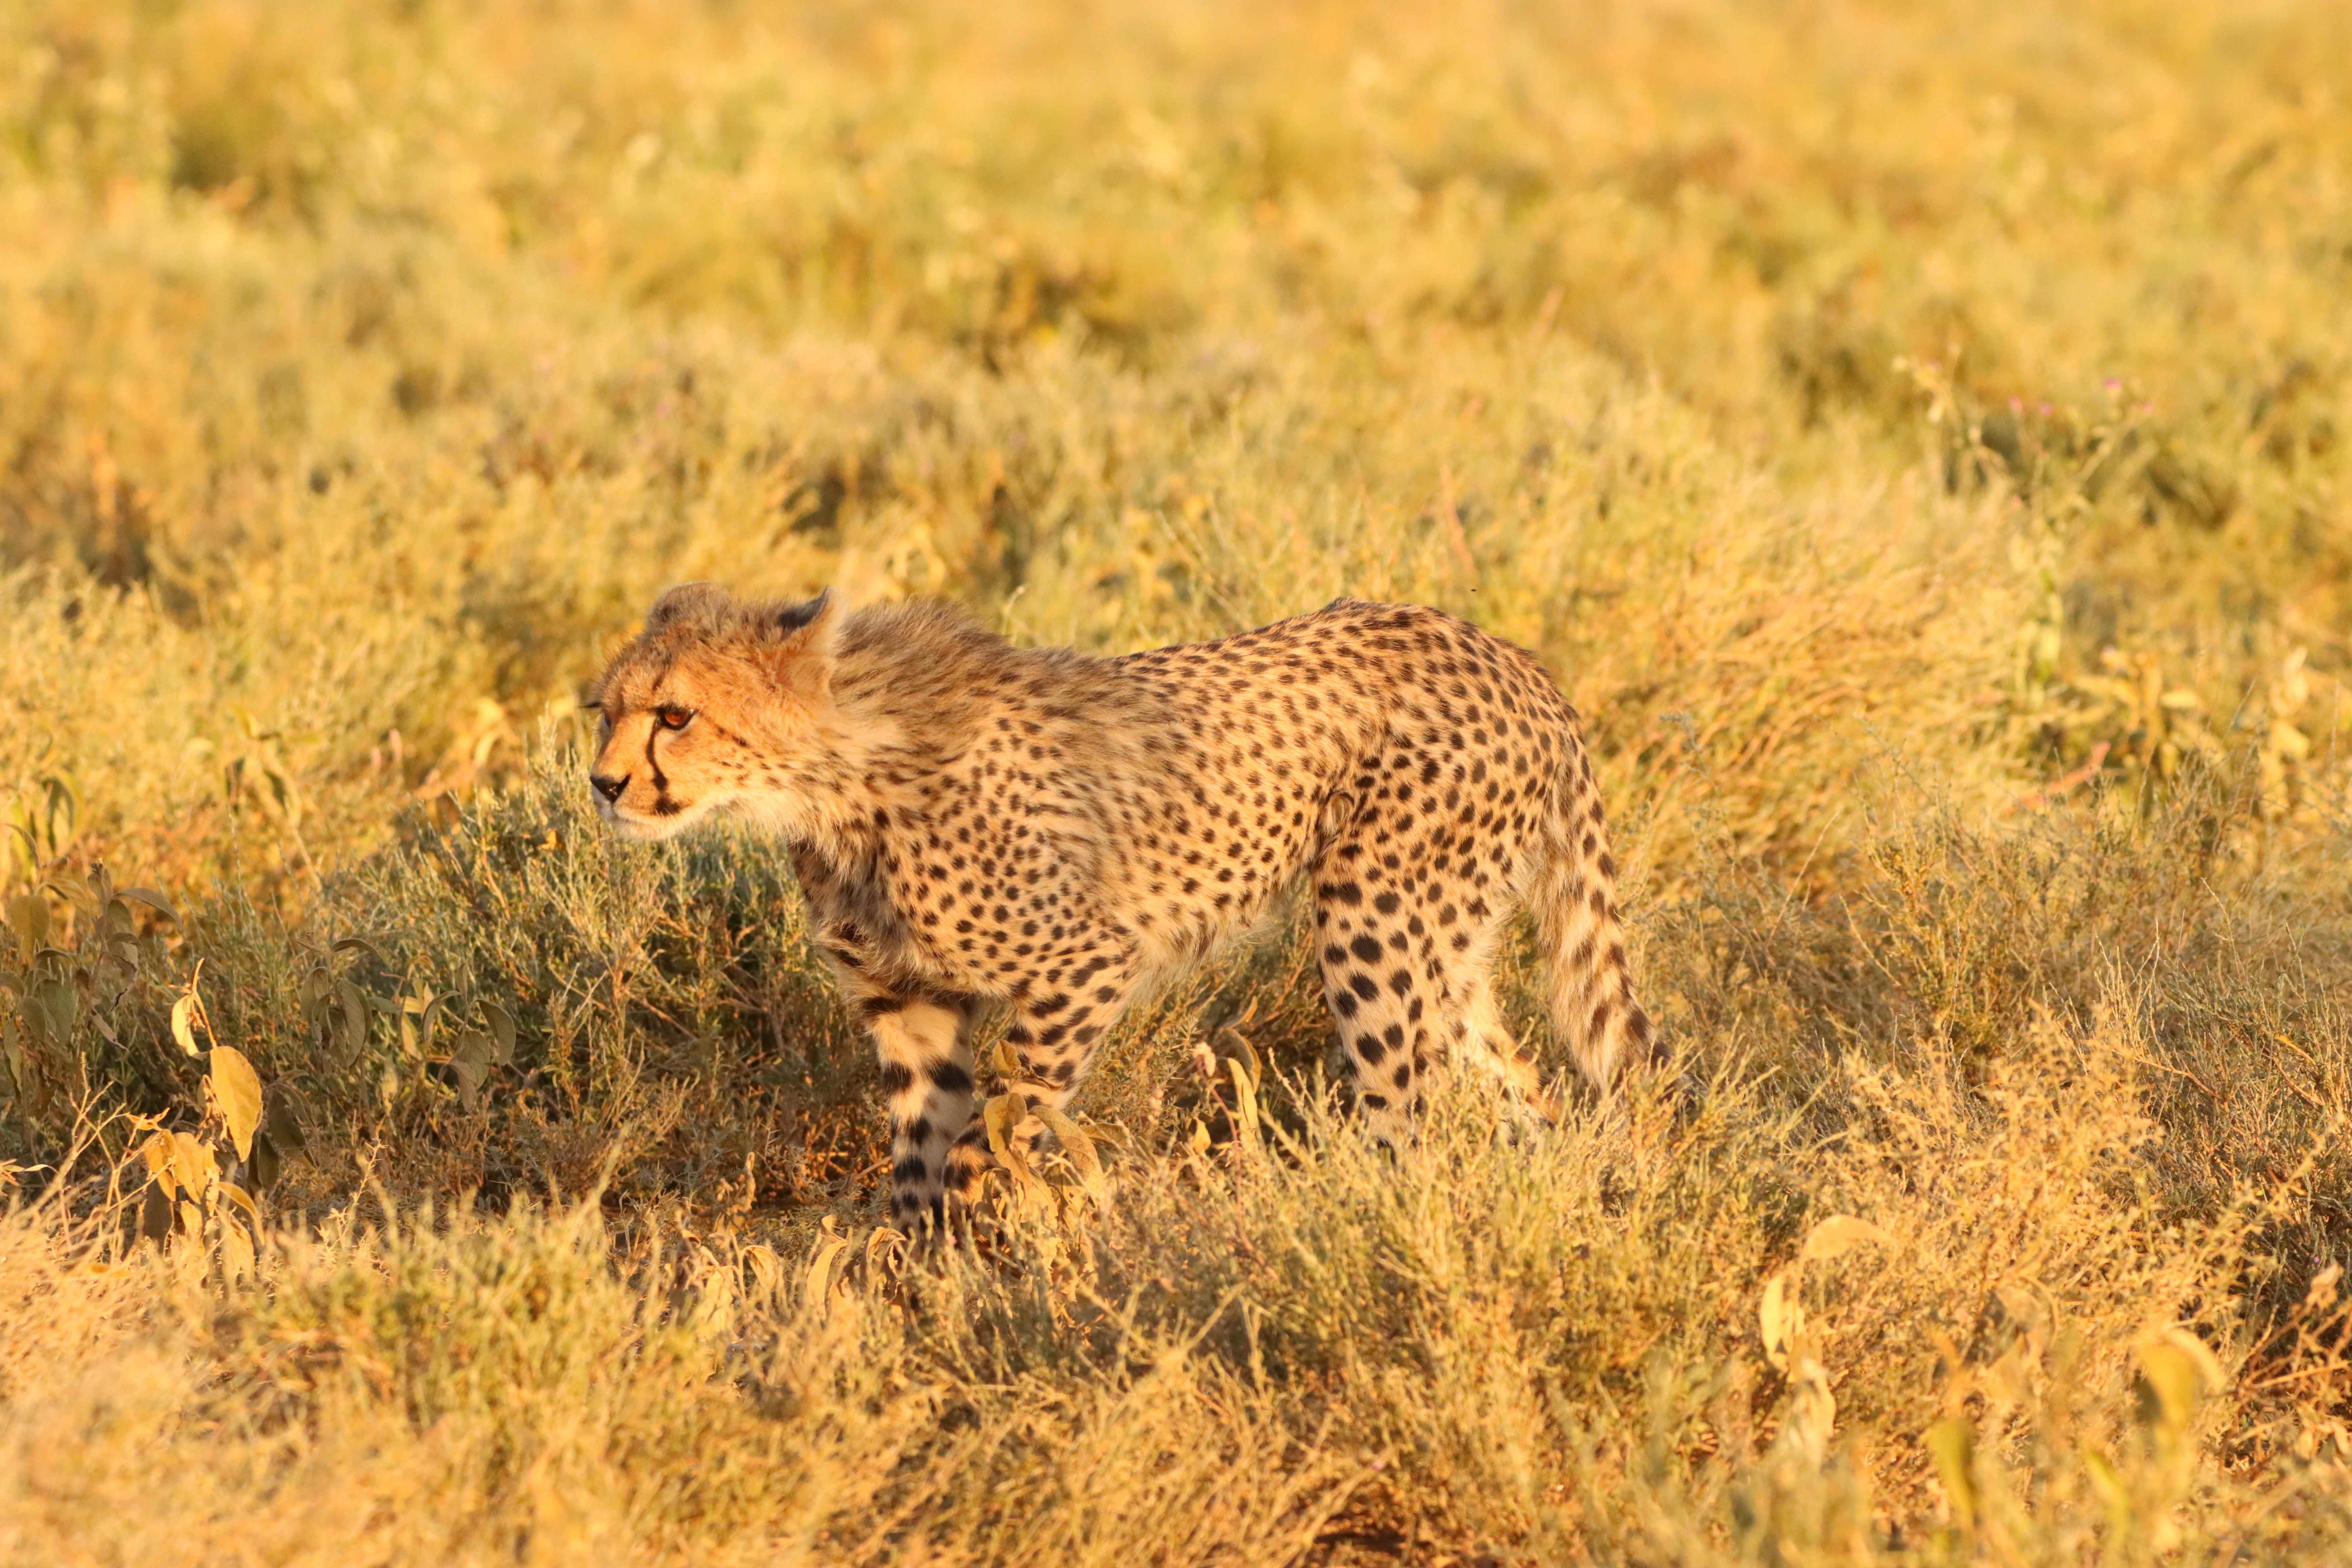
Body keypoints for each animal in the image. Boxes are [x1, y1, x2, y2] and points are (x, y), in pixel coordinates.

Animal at [587, 583, 1656, 1231]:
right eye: (605, 709)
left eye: (676, 716)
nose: (603, 785)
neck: (839, 770)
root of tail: (1512, 658)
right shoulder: (909, 998)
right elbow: (921, 1142)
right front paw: (913, 1281)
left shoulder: (1086, 959)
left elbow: (1001, 1118)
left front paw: (977, 1234)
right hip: (1442, 937)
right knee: (1524, 1089)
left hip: (1374, 922)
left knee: (1407, 1111)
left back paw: (1373, 1229)